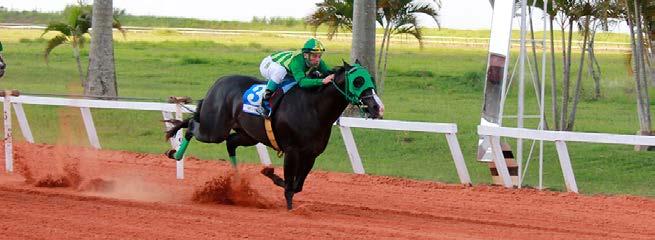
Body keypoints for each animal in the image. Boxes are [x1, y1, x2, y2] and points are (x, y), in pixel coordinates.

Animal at [165, 61, 384, 209]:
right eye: (358, 81)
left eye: (371, 79)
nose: (377, 108)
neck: (313, 108)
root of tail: (219, 81)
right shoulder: (292, 150)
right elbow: (289, 184)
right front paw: (288, 207)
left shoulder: (311, 154)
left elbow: (297, 185)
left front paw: (269, 173)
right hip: (214, 129)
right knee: (192, 126)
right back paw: (175, 153)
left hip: (248, 134)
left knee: (230, 142)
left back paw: (236, 184)